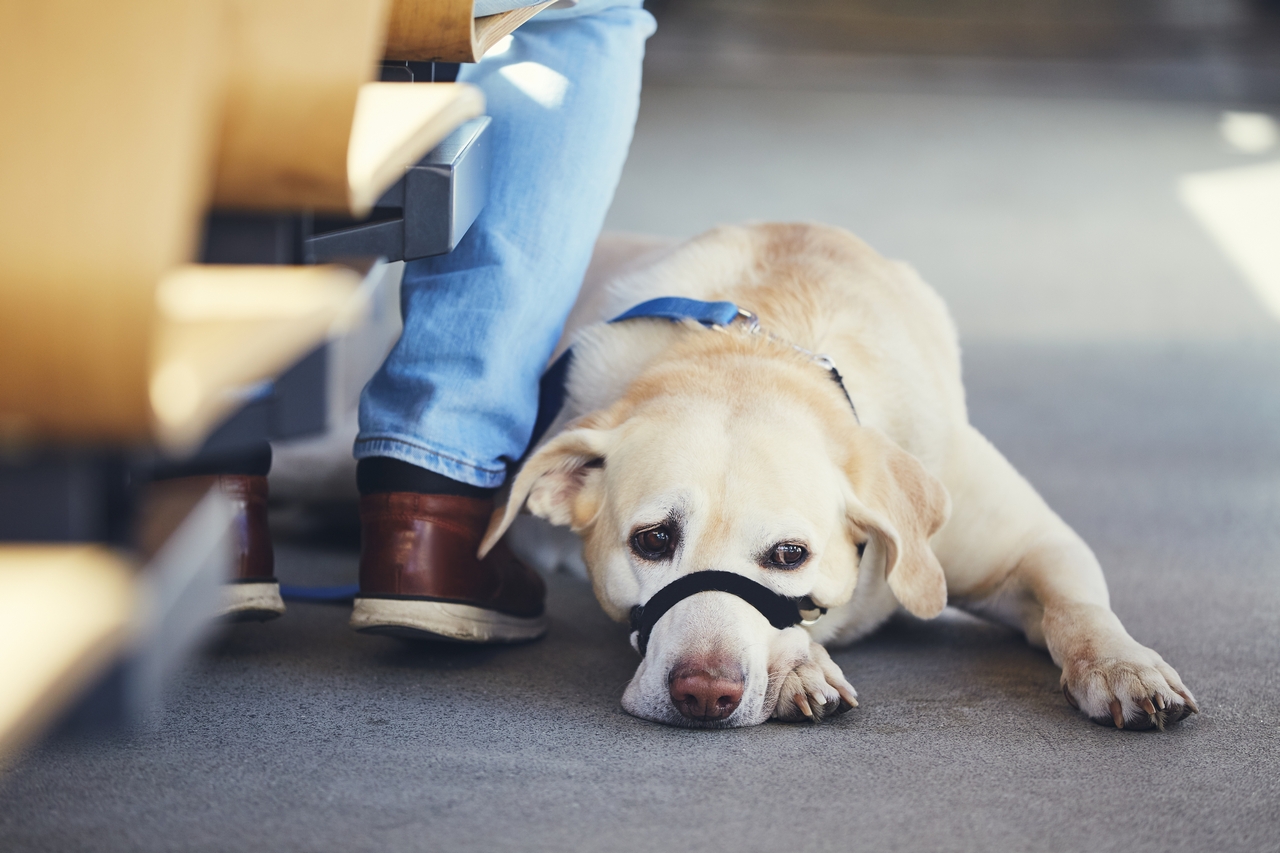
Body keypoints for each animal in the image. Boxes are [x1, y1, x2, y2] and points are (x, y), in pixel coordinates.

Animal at [481, 222, 1187, 727]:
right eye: (652, 540)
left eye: (790, 554)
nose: (703, 694)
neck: (755, 349)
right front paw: (800, 664)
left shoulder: (1035, 545)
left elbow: (1077, 609)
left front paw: (1122, 666)